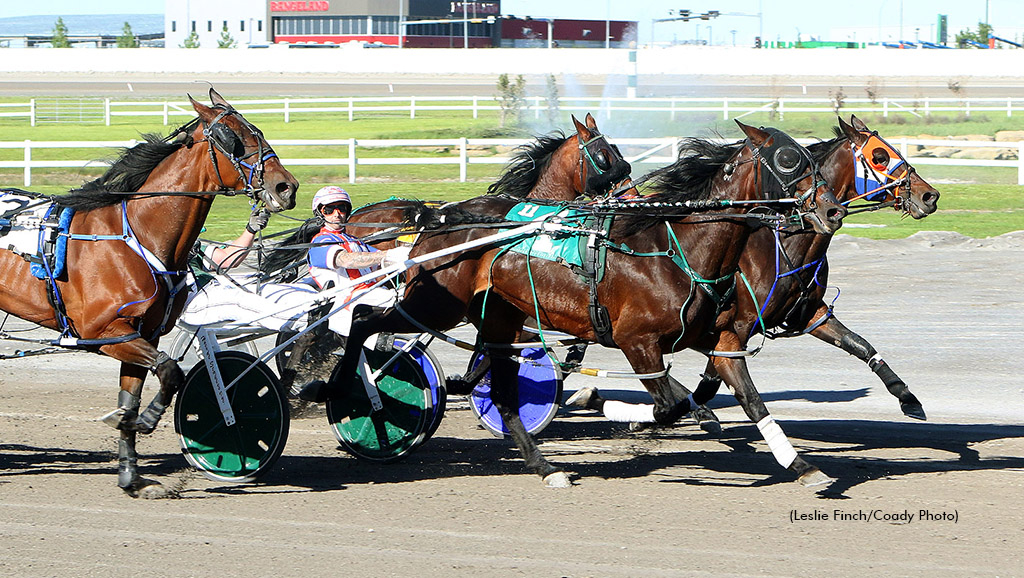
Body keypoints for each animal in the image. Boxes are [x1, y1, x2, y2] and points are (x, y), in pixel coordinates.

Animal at [0, 89, 301, 496]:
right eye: (232, 138)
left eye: (258, 130)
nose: (286, 187)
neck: (137, 237)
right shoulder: (102, 332)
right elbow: (171, 371)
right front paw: (145, 421)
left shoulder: (141, 333)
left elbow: (132, 397)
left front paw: (131, 474)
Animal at [299, 122, 847, 487]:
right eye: (790, 161)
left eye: (812, 157)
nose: (830, 209)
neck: (680, 251)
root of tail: (439, 220)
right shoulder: (635, 342)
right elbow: (669, 405)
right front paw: (611, 406)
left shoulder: (720, 340)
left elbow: (744, 398)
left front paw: (802, 466)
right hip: (435, 303)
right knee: (365, 319)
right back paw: (338, 387)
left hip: (496, 317)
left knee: (502, 392)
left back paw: (544, 466)